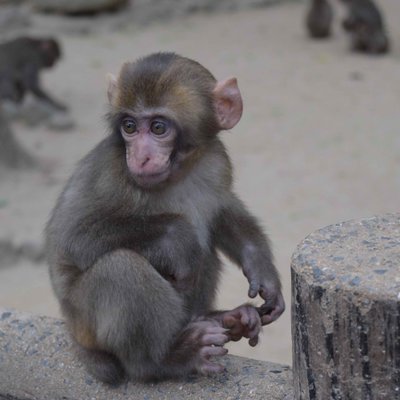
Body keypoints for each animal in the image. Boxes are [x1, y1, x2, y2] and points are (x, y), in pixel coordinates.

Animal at [46, 53, 284, 384]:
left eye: (158, 128)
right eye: (130, 126)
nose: (140, 157)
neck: (179, 172)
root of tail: (74, 333)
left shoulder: (217, 161)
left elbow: (222, 211)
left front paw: (262, 269)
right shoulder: (109, 171)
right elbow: (70, 236)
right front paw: (177, 237)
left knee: (204, 250)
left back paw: (221, 318)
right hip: (84, 320)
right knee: (122, 268)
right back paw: (164, 360)